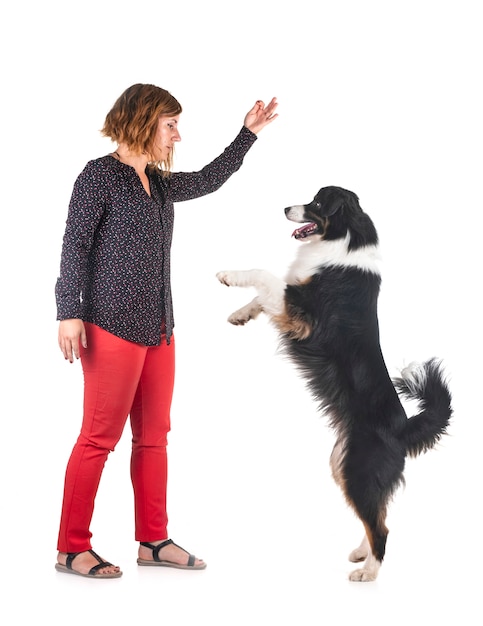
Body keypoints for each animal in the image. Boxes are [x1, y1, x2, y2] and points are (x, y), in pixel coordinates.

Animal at [216, 185, 454, 580]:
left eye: (315, 203)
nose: (285, 208)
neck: (344, 237)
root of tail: (403, 429)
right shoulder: (294, 299)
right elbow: (265, 293)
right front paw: (240, 313)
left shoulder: (304, 313)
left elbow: (265, 275)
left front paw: (229, 275)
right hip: (341, 465)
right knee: (377, 514)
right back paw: (361, 552)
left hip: (358, 470)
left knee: (381, 527)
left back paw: (369, 571)